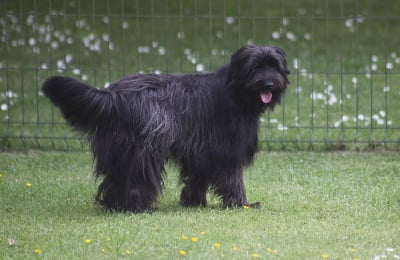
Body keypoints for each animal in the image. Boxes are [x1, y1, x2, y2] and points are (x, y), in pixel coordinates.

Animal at [42, 44, 290, 211]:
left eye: (274, 67)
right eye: (255, 67)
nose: (268, 84)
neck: (237, 90)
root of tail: (112, 95)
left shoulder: (200, 150)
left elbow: (197, 177)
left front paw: (192, 203)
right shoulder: (226, 148)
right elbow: (232, 178)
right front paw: (241, 204)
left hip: (119, 148)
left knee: (114, 178)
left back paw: (115, 205)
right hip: (144, 147)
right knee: (137, 177)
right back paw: (140, 207)